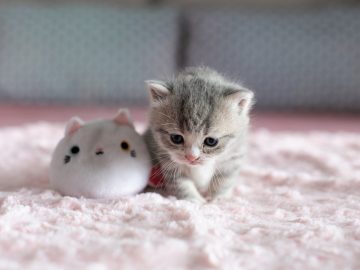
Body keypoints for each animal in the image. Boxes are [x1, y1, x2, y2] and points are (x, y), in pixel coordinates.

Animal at [143, 67, 253, 202]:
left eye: (211, 141)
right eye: (176, 138)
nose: (192, 157)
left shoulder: (233, 156)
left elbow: (223, 180)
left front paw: (217, 199)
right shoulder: (167, 159)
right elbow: (181, 184)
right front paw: (195, 201)